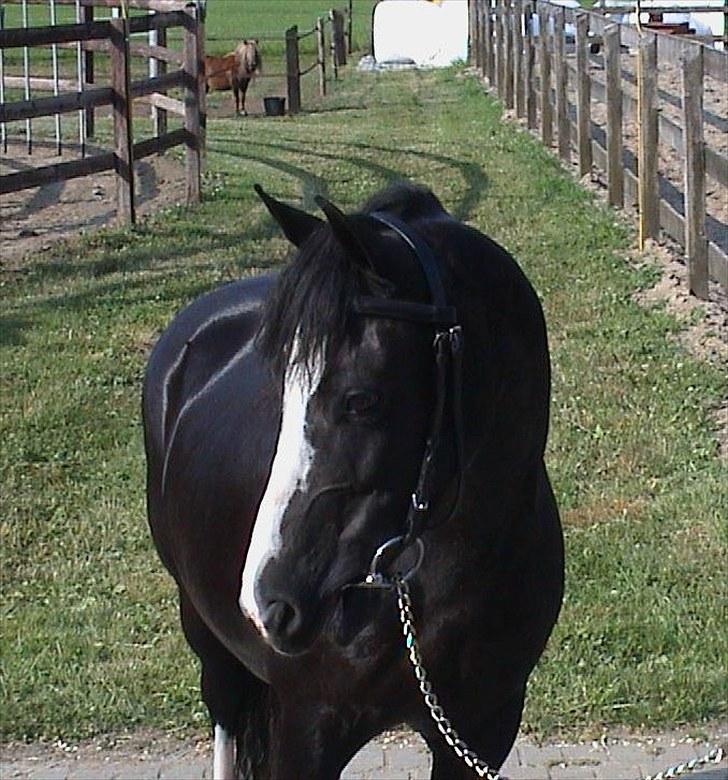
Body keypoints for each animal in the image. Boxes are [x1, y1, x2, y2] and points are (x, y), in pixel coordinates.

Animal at [142, 184, 564, 780]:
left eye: (360, 400)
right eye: (280, 389)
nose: (266, 599)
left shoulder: (481, 731)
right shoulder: (309, 728)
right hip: (208, 641)